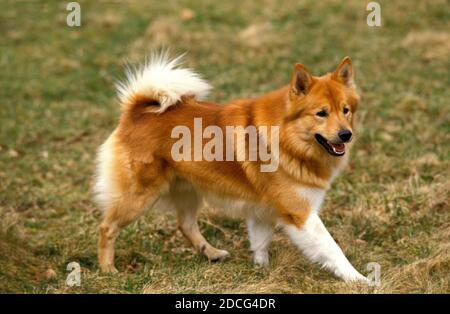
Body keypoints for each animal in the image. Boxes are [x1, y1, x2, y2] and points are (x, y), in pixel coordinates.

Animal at [93, 51, 368, 282]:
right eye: (321, 113)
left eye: (345, 110)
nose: (346, 135)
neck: (287, 138)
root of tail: (136, 110)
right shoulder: (301, 214)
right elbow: (332, 249)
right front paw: (358, 279)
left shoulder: (262, 209)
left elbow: (260, 242)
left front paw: (261, 270)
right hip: (139, 196)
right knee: (107, 228)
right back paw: (108, 270)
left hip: (188, 189)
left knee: (186, 225)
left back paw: (212, 253)